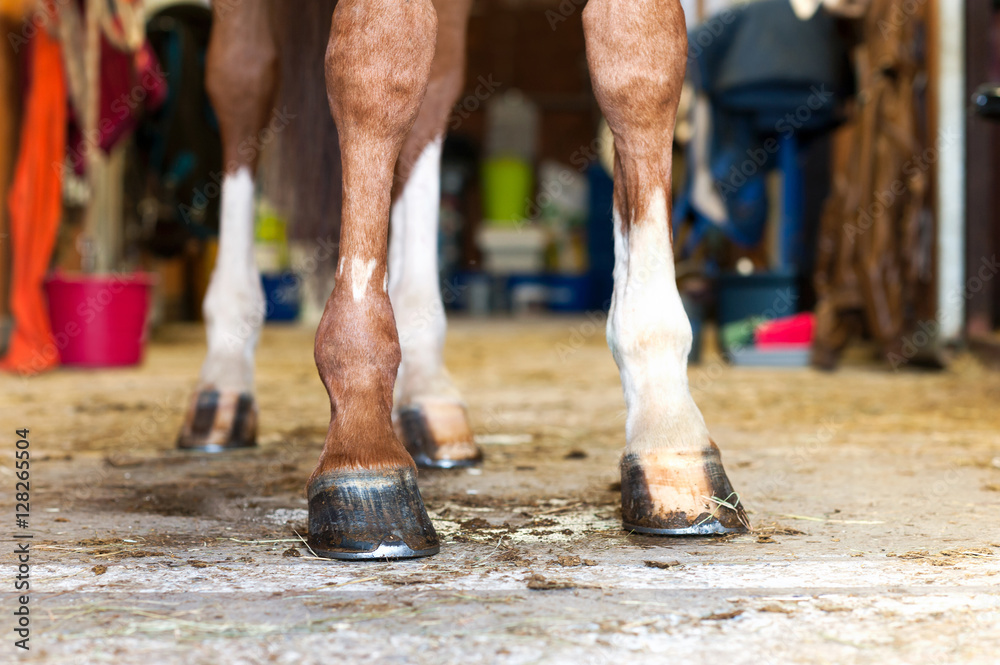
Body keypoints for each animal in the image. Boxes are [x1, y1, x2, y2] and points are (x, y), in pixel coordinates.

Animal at [178, 0, 750, 560]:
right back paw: (222, 387)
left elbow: (641, 71)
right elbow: (372, 72)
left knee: (435, 91)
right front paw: (363, 452)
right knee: (242, 79)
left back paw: (427, 392)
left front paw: (669, 435)